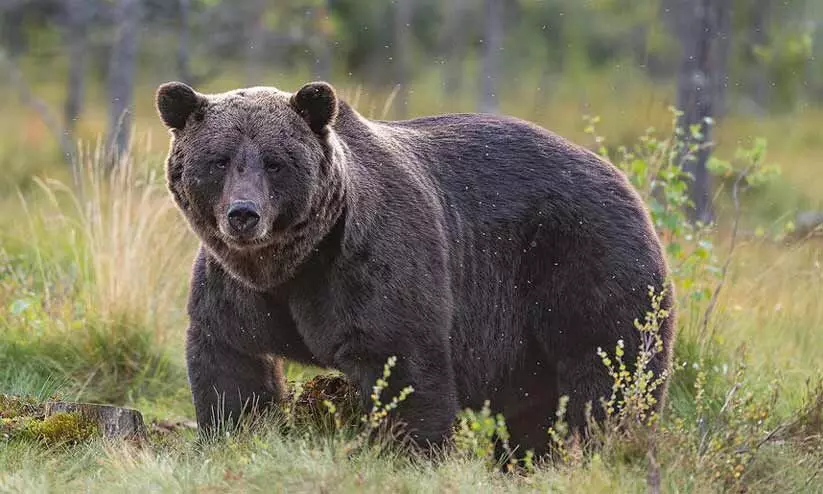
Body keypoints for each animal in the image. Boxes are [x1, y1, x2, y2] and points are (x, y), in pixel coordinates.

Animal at [156, 79, 676, 454]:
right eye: (218, 160)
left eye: (275, 162)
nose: (244, 214)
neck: (292, 265)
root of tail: (623, 179)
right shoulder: (235, 288)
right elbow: (232, 366)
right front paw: (233, 434)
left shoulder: (368, 264)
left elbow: (402, 364)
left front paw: (410, 451)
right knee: (538, 408)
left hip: (583, 259)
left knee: (610, 370)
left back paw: (607, 446)